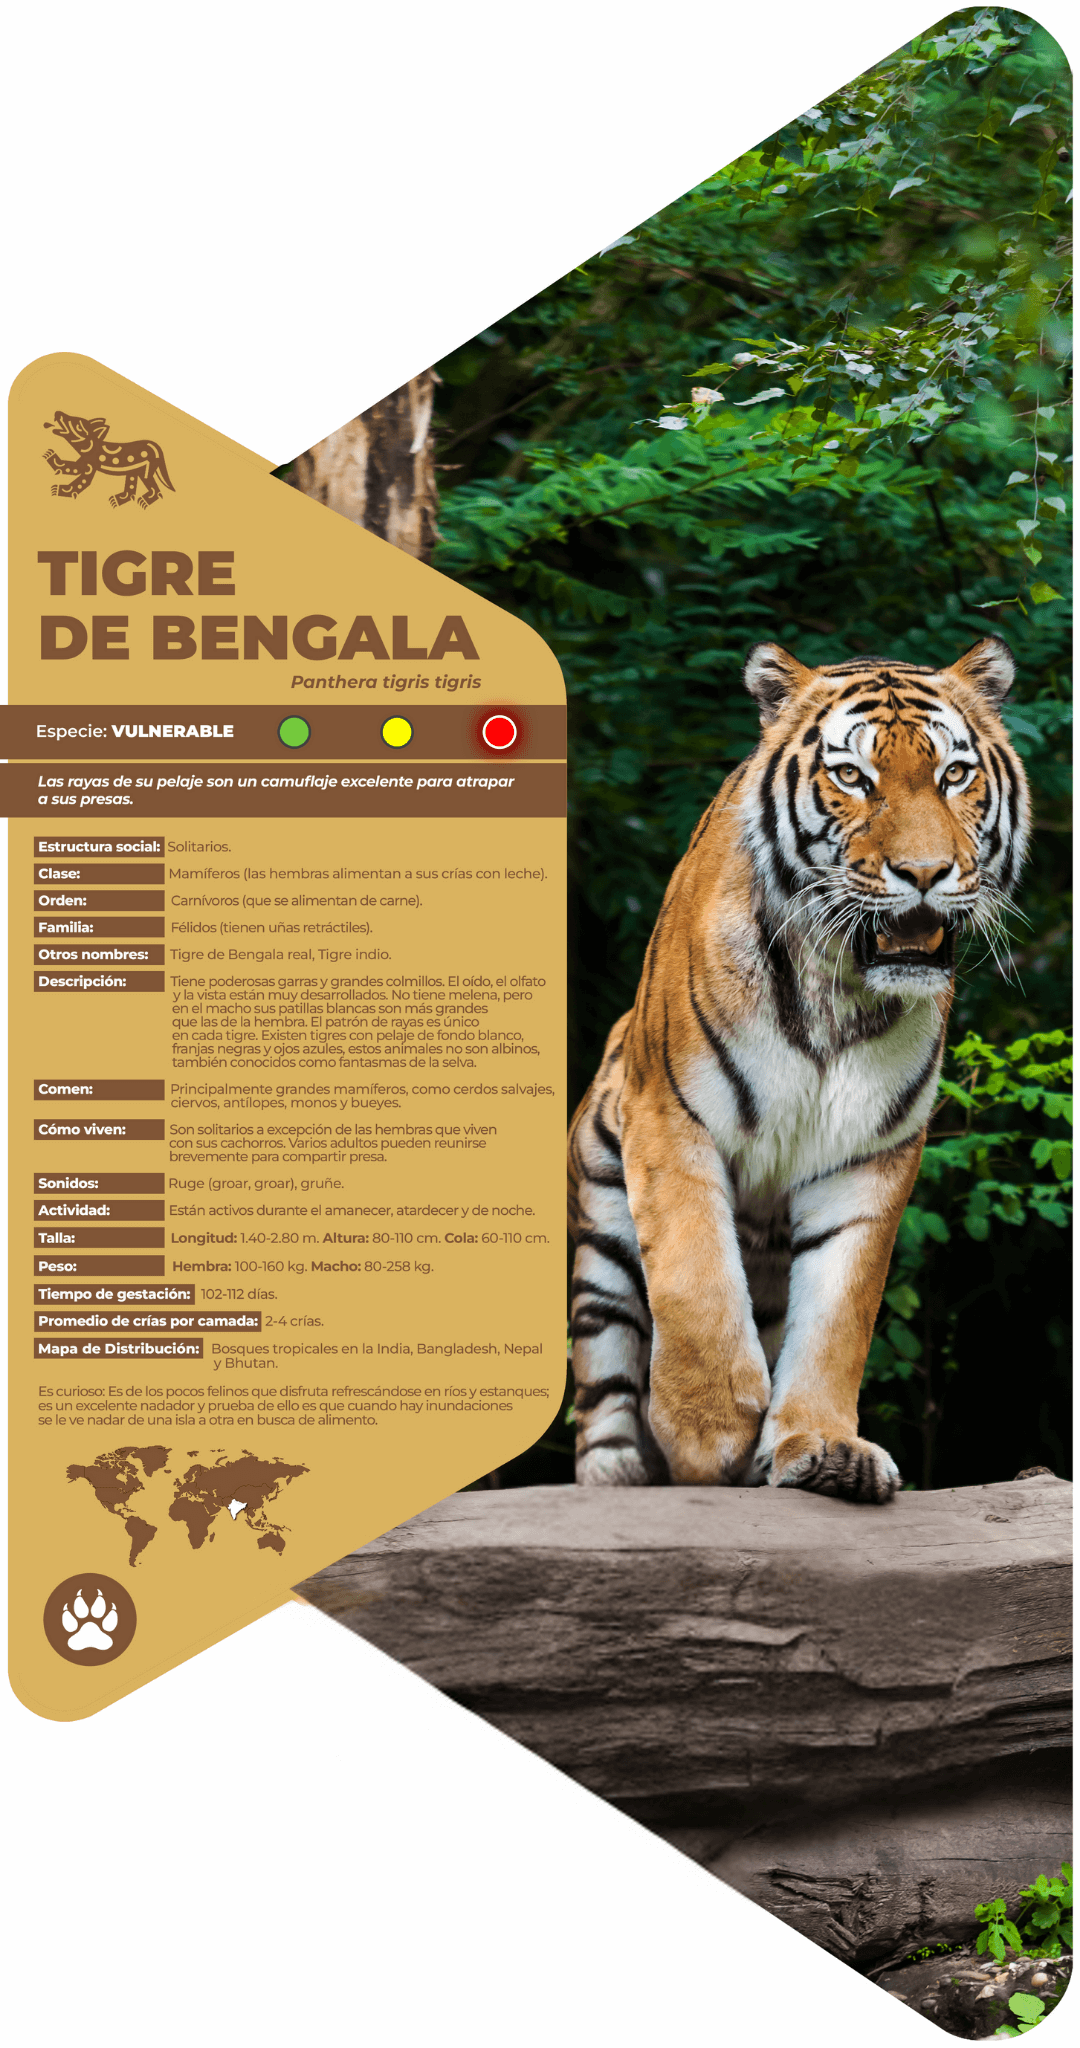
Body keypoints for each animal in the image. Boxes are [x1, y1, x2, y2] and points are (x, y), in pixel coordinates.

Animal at [567, 635, 1029, 1503]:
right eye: (852, 777)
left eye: (955, 774)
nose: (926, 873)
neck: (837, 992)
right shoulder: (670, 1118)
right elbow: (695, 1277)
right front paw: (707, 1430)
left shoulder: (870, 1156)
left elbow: (838, 1318)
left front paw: (822, 1445)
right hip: (601, 1234)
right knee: (605, 1371)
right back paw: (622, 1470)